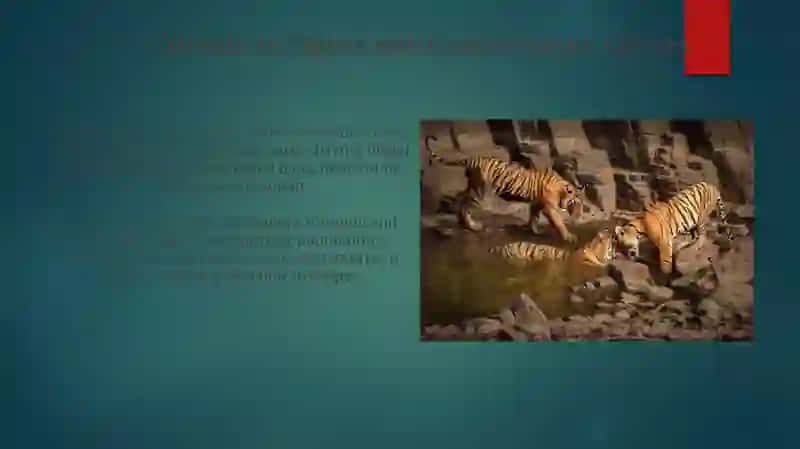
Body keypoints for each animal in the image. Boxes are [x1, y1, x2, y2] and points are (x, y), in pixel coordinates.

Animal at [425, 135, 584, 244]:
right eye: (578, 205)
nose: (579, 217)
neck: (562, 188)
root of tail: (471, 159)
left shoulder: (537, 203)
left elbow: (533, 217)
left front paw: (533, 230)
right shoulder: (550, 208)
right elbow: (558, 222)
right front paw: (569, 237)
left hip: (472, 186)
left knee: (460, 198)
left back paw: (461, 221)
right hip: (480, 191)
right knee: (466, 205)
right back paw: (473, 226)